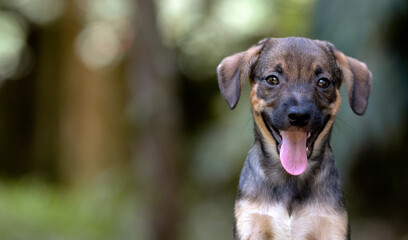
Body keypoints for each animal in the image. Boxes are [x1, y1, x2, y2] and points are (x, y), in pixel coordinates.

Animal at [218, 36, 372, 239]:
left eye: (323, 82)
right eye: (272, 79)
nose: (299, 116)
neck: (290, 179)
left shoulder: (332, 226)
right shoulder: (250, 223)